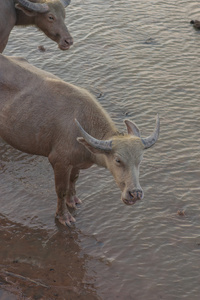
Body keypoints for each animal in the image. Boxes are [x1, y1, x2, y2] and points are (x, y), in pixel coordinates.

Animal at [0, 54, 159, 227]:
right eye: (118, 160)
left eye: (140, 160)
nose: (135, 193)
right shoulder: (59, 162)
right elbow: (61, 190)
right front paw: (64, 216)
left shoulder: (75, 163)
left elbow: (73, 180)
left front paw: (73, 201)